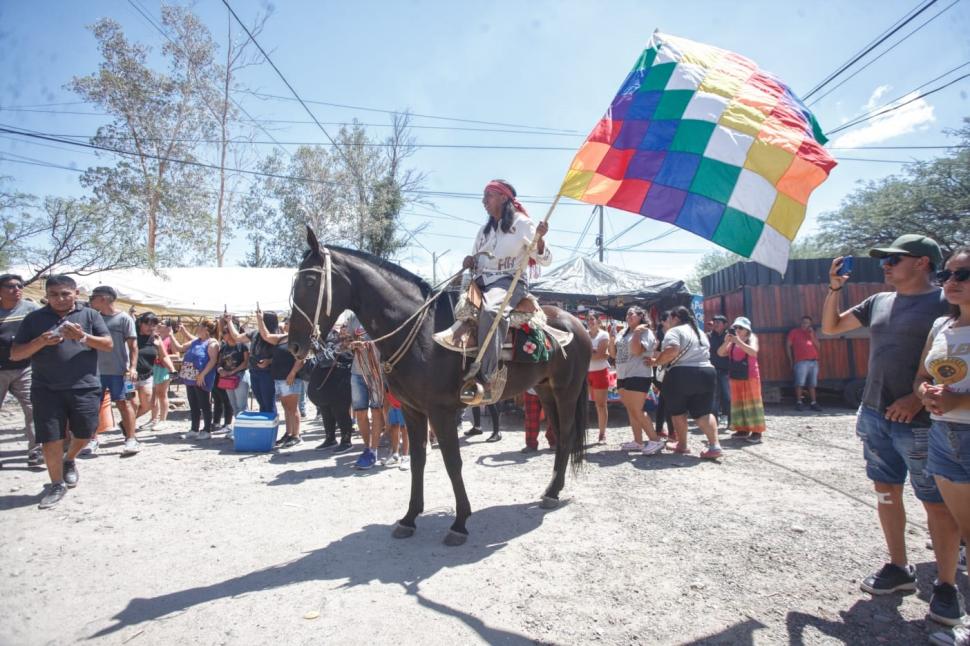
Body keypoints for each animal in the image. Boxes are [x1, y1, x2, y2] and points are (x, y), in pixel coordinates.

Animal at [288, 230, 588, 544]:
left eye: (310, 282)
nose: (294, 345)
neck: (420, 332)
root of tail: (575, 323)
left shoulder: (441, 412)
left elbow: (452, 462)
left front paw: (459, 522)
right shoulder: (412, 410)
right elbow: (417, 460)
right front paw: (409, 518)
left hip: (567, 391)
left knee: (567, 435)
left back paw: (553, 493)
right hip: (545, 391)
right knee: (559, 436)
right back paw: (552, 489)